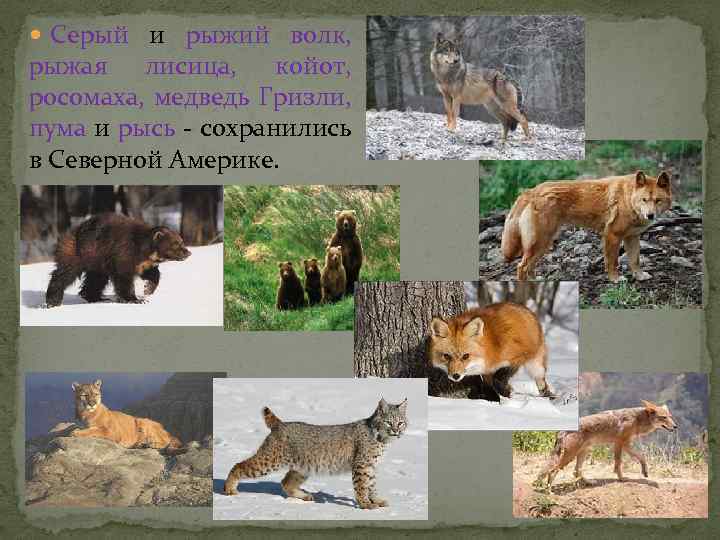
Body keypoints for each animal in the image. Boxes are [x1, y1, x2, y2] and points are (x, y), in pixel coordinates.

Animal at [45, 213, 191, 307]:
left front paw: (148, 289)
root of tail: (76, 228)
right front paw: (135, 299)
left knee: (96, 280)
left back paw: (96, 298)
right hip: (78, 250)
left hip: (97, 261)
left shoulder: (143, 262)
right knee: (64, 273)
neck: (143, 249)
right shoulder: (124, 253)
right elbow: (124, 278)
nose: (188, 252)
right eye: (176, 244)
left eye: (182, 241)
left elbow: (152, 273)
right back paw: (53, 300)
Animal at [501, 170, 673, 282]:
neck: (628, 198)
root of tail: (532, 191)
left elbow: (635, 260)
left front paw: (639, 276)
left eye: (658, 200)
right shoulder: (612, 235)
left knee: (528, 267)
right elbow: (612, 262)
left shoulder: (632, 237)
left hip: (543, 244)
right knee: (521, 267)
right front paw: (615, 280)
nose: (650, 215)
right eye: (644, 200)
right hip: (540, 242)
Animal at [533, 400, 677, 489]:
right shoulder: (620, 443)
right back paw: (549, 491)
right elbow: (618, 463)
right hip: (570, 456)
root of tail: (562, 430)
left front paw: (645, 472)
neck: (637, 419)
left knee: (575, 472)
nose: (676, 426)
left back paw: (590, 482)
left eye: (670, 416)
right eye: (664, 417)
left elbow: (642, 457)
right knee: (553, 471)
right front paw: (621, 478)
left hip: (584, 451)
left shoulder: (626, 444)